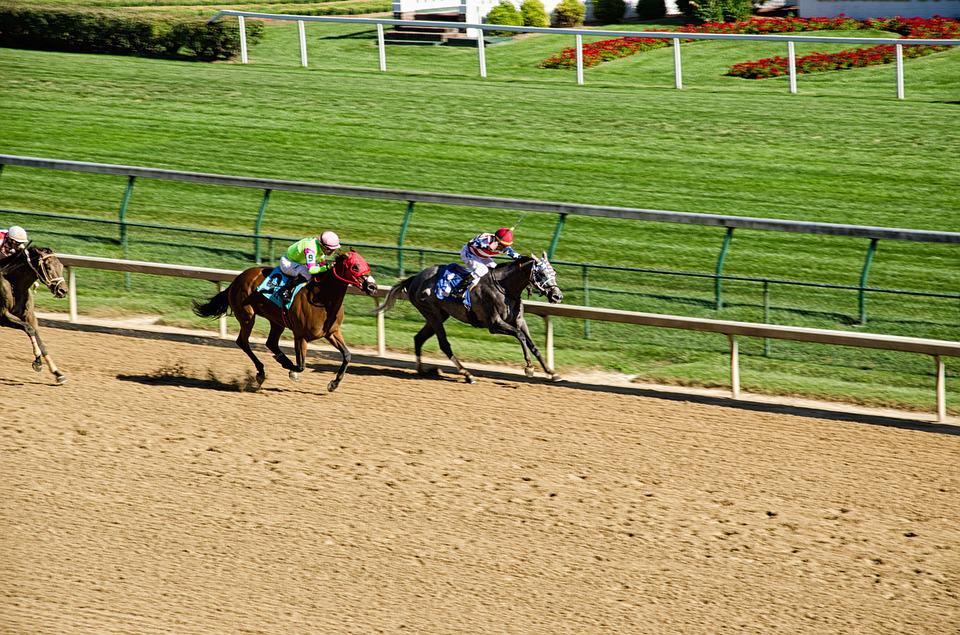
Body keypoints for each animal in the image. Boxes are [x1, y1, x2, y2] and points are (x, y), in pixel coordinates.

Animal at [0, 246, 69, 386]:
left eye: (61, 265)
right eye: (48, 267)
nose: (63, 290)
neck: (13, 282)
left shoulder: (29, 316)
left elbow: (39, 339)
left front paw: (57, 373)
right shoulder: (3, 316)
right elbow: (29, 329)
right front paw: (37, 360)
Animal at [192, 250, 378, 392]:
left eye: (366, 264)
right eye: (355, 266)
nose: (373, 287)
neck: (322, 298)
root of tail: (236, 280)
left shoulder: (332, 332)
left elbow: (347, 355)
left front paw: (333, 384)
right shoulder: (300, 335)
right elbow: (301, 365)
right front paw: (291, 371)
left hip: (277, 321)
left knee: (271, 342)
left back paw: (278, 360)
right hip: (247, 316)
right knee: (243, 341)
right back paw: (262, 371)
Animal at [374, 252, 564, 382]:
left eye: (554, 272)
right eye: (541, 274)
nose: (557, 296)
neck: (504, 288)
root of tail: (414, 278)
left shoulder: (519, 321)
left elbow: (532, 344)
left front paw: (551, 372)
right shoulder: (494, 324)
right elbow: (520, 336)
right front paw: (529, 367)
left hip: (439, 315)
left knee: (419, 338)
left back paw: (423, 370)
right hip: (432, 314)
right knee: (444, 344)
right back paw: (467, 374)